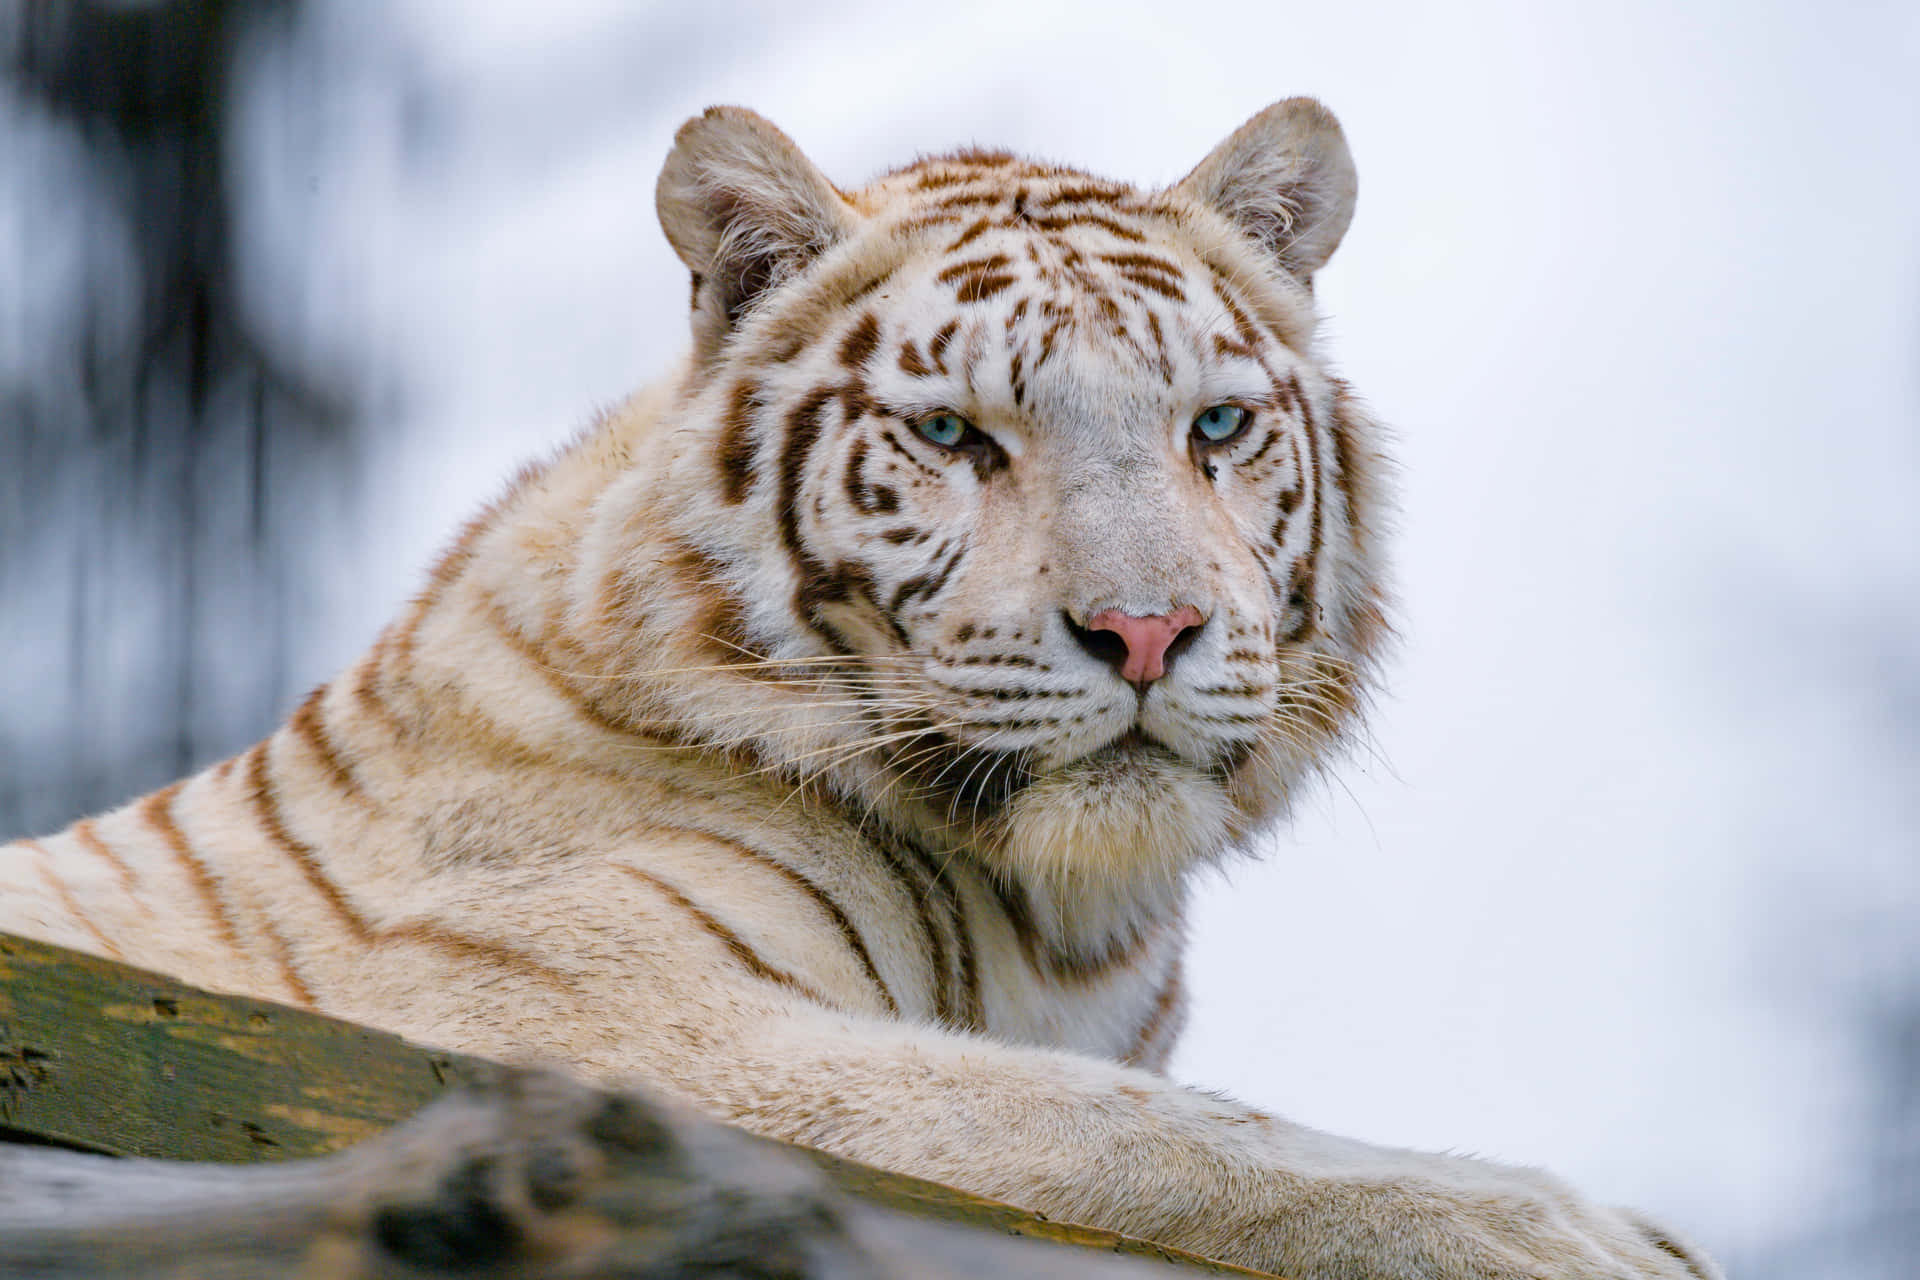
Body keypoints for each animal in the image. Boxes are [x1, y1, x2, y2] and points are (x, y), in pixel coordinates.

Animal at [0, 99, 1720, 1279]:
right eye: (955, 436)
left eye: (1217, 428)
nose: (1146, 631)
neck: (1071, 923)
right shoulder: (567, 1015)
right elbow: (1095, 1125)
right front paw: (1578, 1237)